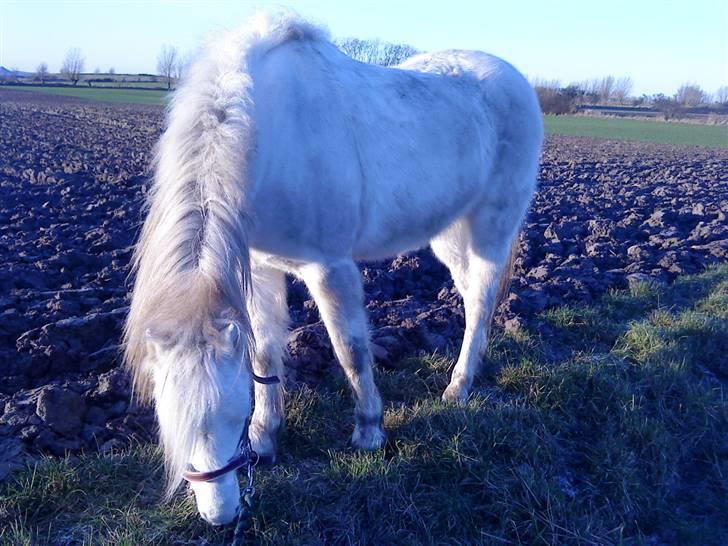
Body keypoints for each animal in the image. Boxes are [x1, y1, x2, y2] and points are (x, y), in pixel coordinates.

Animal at [123, 11, 543, 526]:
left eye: (230, 414)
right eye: (169, 421)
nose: (221, 514)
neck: (271, 139)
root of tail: (514, 78)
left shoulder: (329, 267)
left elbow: (350, 351)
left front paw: (369, 431)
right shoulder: (260, 269)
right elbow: (265, 354)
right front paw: (266, 437)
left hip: (490, 227)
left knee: (481, 300)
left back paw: (458, 387)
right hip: (448, 234)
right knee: (469, 299)